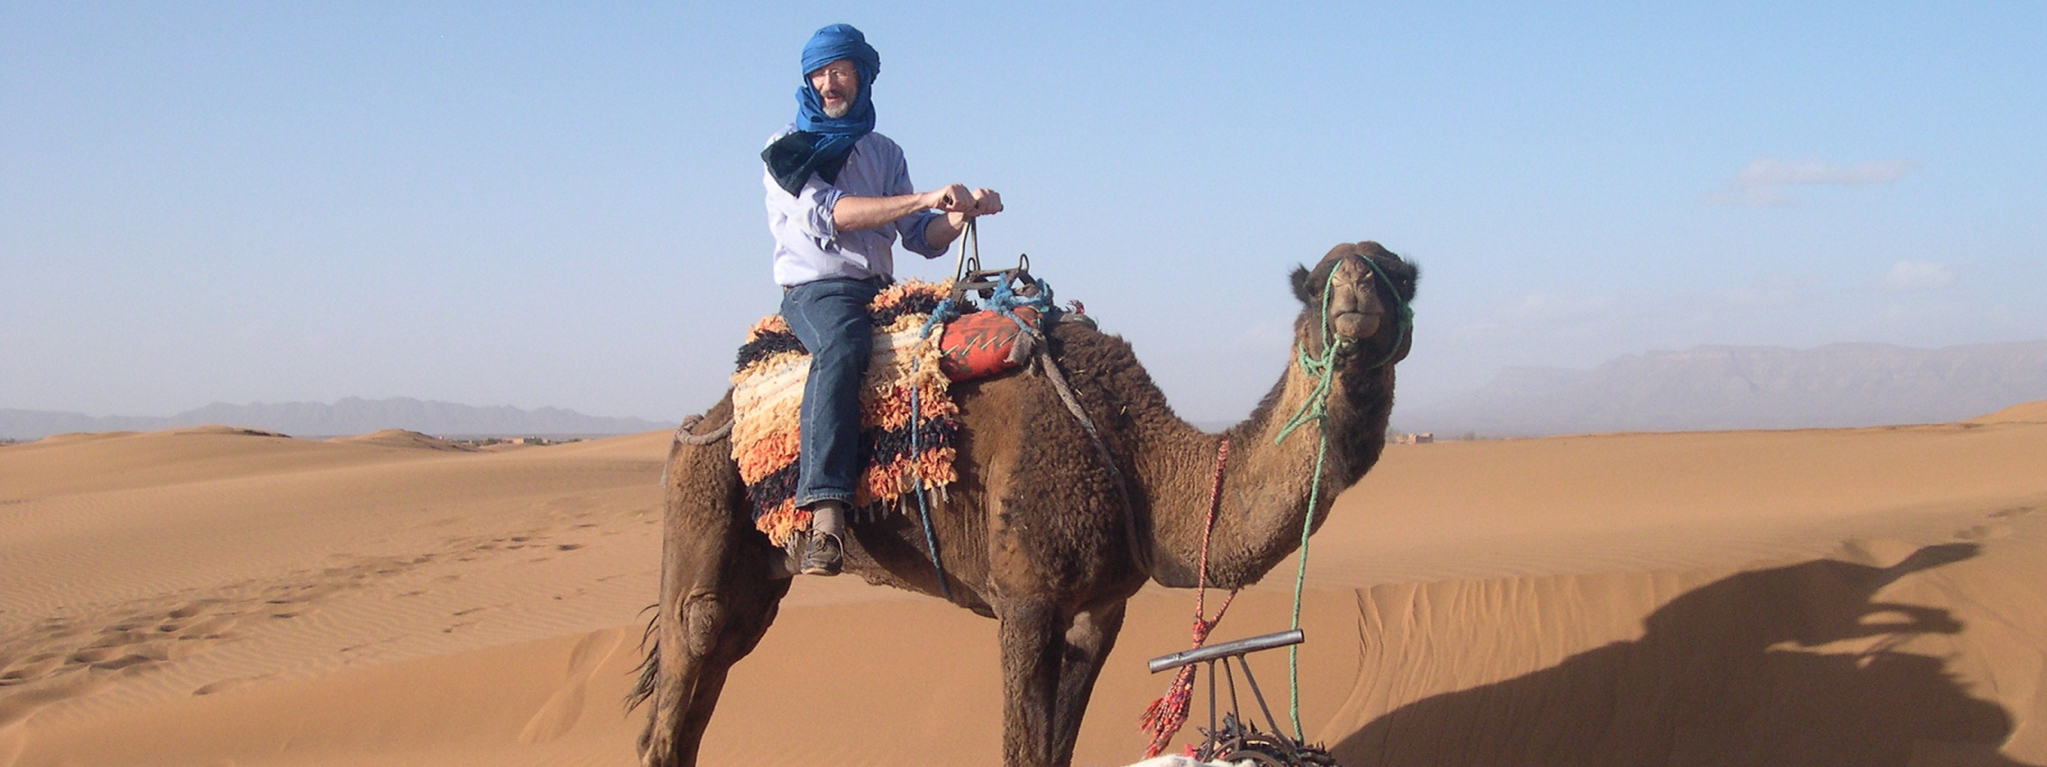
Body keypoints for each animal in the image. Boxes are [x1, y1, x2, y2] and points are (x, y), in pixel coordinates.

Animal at [630, 241, 1416, 767]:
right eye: (1313, 285)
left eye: (1401, 274)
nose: (1354, 292)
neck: (1142, 460)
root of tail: (703, 418)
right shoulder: (1025, 596)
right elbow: (1021, 748)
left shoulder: (1100, 609)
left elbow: (1057, 747)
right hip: (703, 504)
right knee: (689, 656)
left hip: (756, 579)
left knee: (711, 671)